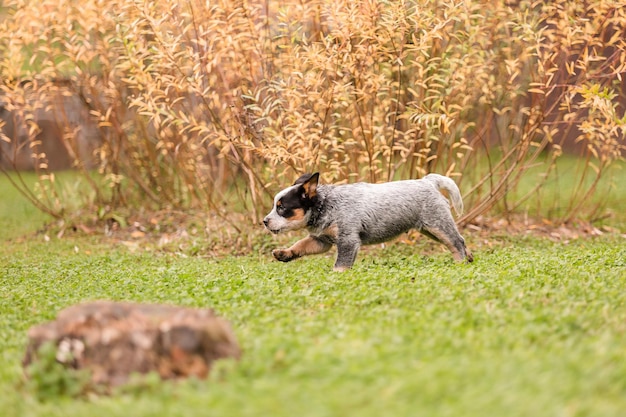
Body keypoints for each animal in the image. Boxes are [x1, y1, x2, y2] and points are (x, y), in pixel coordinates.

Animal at [260, 171, 470, 272]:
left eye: (281, 208)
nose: (264, 221)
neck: (327, 205)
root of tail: (428, 181)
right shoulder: (321, 240)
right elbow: (300, 244)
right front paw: (284, 253)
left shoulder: (348, 240)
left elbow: (341, 264)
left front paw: (336, 275)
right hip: (430, 229)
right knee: (460, 240)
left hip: (437, 223)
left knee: (457, 242)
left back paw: (460, 263)